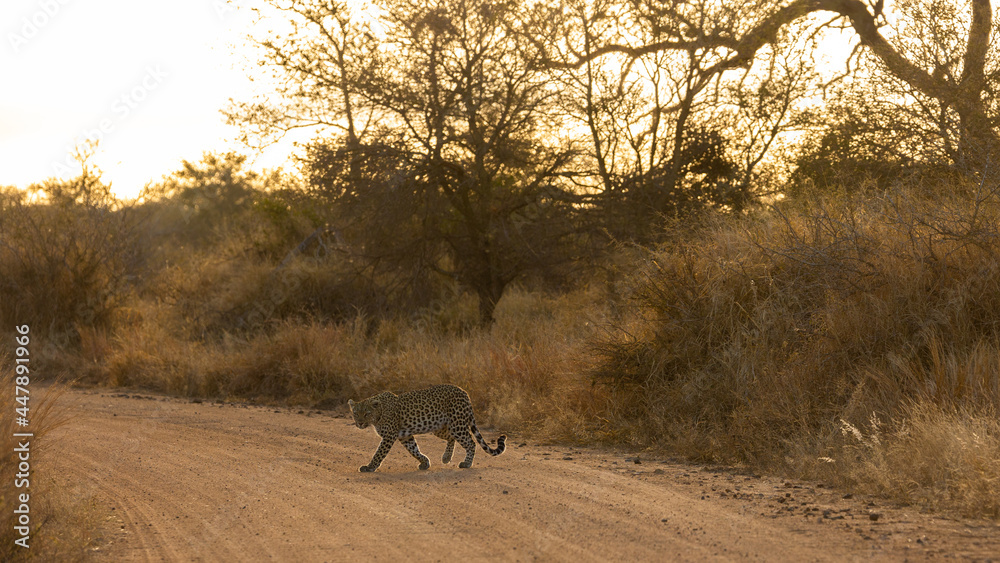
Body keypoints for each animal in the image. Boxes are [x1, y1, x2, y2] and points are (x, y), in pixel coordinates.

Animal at [348, 384, 506, 472]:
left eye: (367, 414)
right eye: (355, 413)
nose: (360, 423)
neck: (379, 413)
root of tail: (464, 392)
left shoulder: (389, 436)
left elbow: (379, 453)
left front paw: (369, 467)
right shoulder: (404, 436)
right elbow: (414, 450)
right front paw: (425, 462)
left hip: (457, 425)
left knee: (471, 442)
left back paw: (466, 463)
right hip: (440, 427)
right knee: (451, 438)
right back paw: (446, 457)